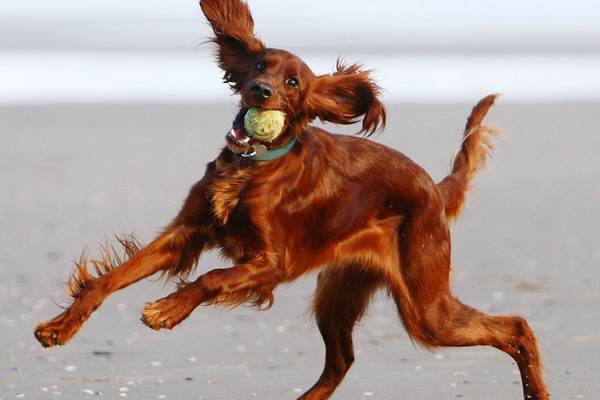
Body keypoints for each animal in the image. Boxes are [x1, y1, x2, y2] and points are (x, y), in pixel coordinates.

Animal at [32, 1, 548, 398]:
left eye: (294, 83)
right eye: (260, 66)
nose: (261, 91)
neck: (252, 167)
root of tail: (434, 190)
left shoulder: (271, 263)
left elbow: (212, 278)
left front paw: (167, 310)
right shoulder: (184, 233)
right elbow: (110, 278)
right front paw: (60, 327)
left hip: (426, 307)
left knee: (516, 327)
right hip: (340, 294)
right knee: (341, 361)